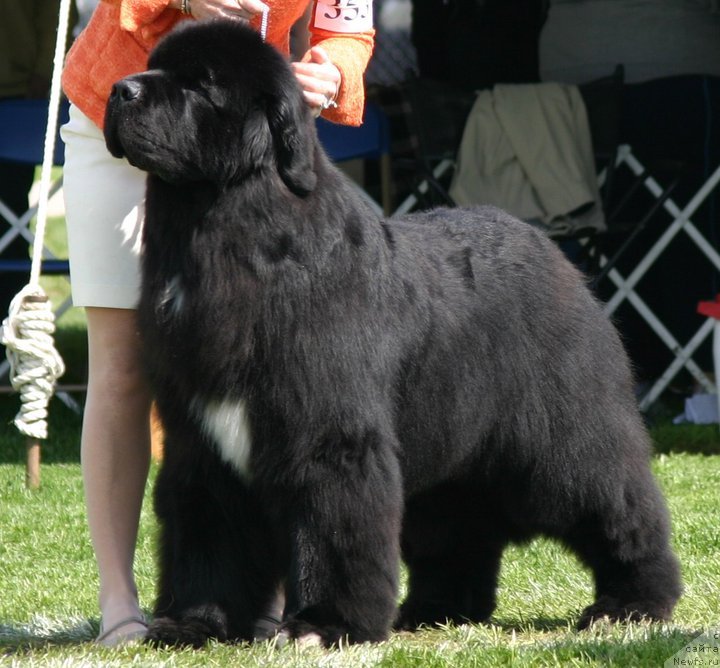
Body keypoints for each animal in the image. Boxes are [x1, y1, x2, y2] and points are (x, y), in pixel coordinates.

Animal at [102, 20, 680, 648]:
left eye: (202, 83)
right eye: (154, 64)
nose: (121, 90)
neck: (222, 238)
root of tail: (553, 253)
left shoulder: (328, 435)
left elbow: (332, 528)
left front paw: (324, 624)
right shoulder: (200, 442)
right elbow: (207, 531)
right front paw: (193, 622)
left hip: (562, 442)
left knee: (617, 504)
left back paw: (632, 604)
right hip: (450, 446)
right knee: (457, 526)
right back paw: (438, 609)